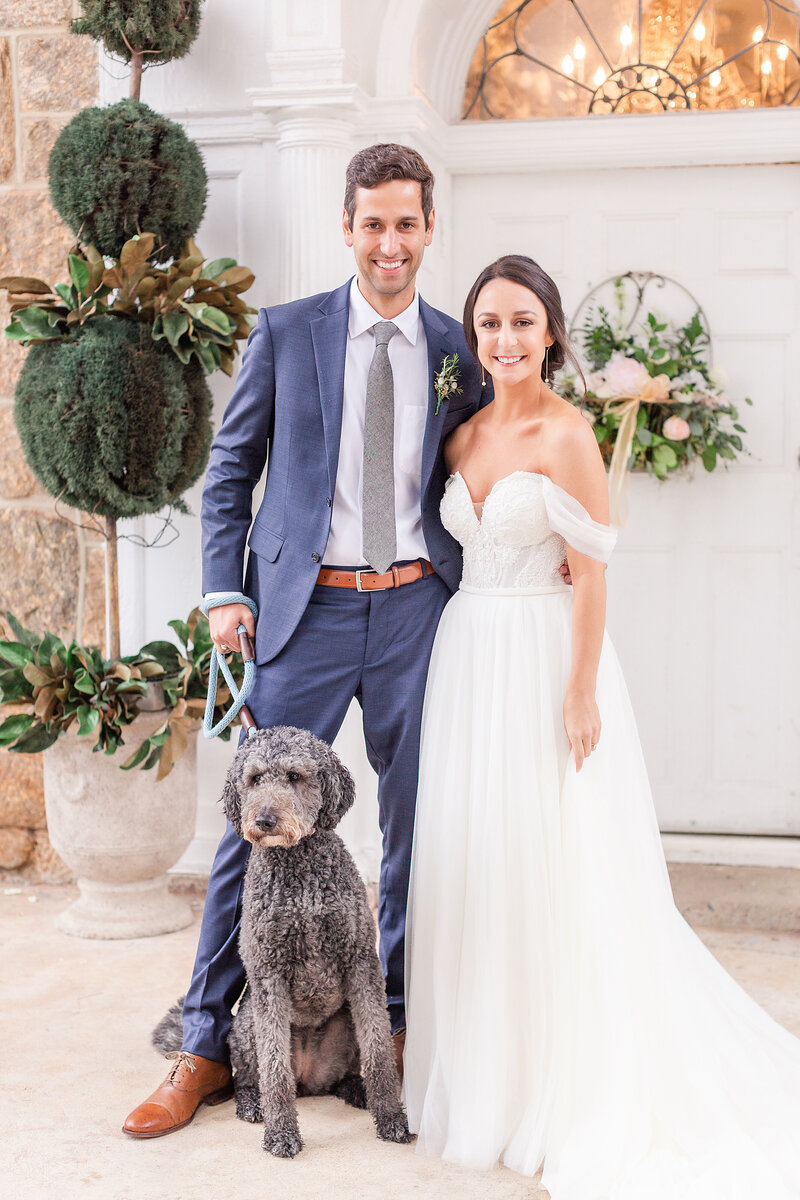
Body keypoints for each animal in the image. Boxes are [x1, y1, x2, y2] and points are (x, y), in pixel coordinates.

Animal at [155, 724, 410, 1156]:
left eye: (294, 776)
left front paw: (390, 1117)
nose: (264, 819)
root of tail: (308, 1081)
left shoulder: (360, 961)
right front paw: (282, 1133)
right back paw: (253, 1104)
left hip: (345, 1022)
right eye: (255, 779)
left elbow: (378, 1051)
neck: (297, 870)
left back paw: (357, 1089)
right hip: (245, 1028)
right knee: (247, 1078)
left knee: (348, 1071)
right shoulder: (268, 974)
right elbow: (274, 1067)